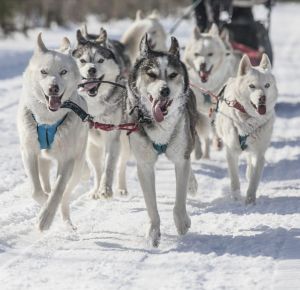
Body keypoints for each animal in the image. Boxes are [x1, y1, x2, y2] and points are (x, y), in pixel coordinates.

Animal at [17, 32, 88, 230]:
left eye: (63, 72)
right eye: (44, 72)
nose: (53, 88)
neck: (47, 121)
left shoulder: (67, 160)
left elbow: (58, 191)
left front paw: (46, 218)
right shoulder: (29, 152)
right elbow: (36, 191)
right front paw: (43, 204)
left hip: (77, 167)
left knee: (65, 196)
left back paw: (67, 222)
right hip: (43, 162)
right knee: (45, 184)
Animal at [72, 29, 129, 198]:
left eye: (100, 60)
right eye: (83, 60)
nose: (92, 69)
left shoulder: (113, 137)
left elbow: (109, 166)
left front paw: (106, 189)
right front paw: (95, 185)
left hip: (125, 144)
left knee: (121, 165)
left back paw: (121, 188)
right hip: (93, 149)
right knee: (97, 169)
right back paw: (95, 191)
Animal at [125, 34, 200, 247]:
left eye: (173, 75)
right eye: (151, 74)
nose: (164, 90)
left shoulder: (181, 159)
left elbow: (180, 198)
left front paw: (182, 222)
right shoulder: (144, 165)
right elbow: (151, 206)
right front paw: (153, 232)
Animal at [183, 23, 237, 157]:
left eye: (210, 54)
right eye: (197, 54)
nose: (202, 65)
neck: (206, 89)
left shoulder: (217, 107)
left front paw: (217, 142)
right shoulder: (194, 108)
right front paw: (197, 150)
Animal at [216, 54, 276, 204]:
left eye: (267, 85)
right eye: (252, 86)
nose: (262, 98)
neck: (249, 120)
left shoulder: (259, 153)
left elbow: (254, 178)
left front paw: (250, 199)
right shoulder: (231, 152)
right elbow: (234, 178)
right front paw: (236, 197)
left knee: (250, 163)